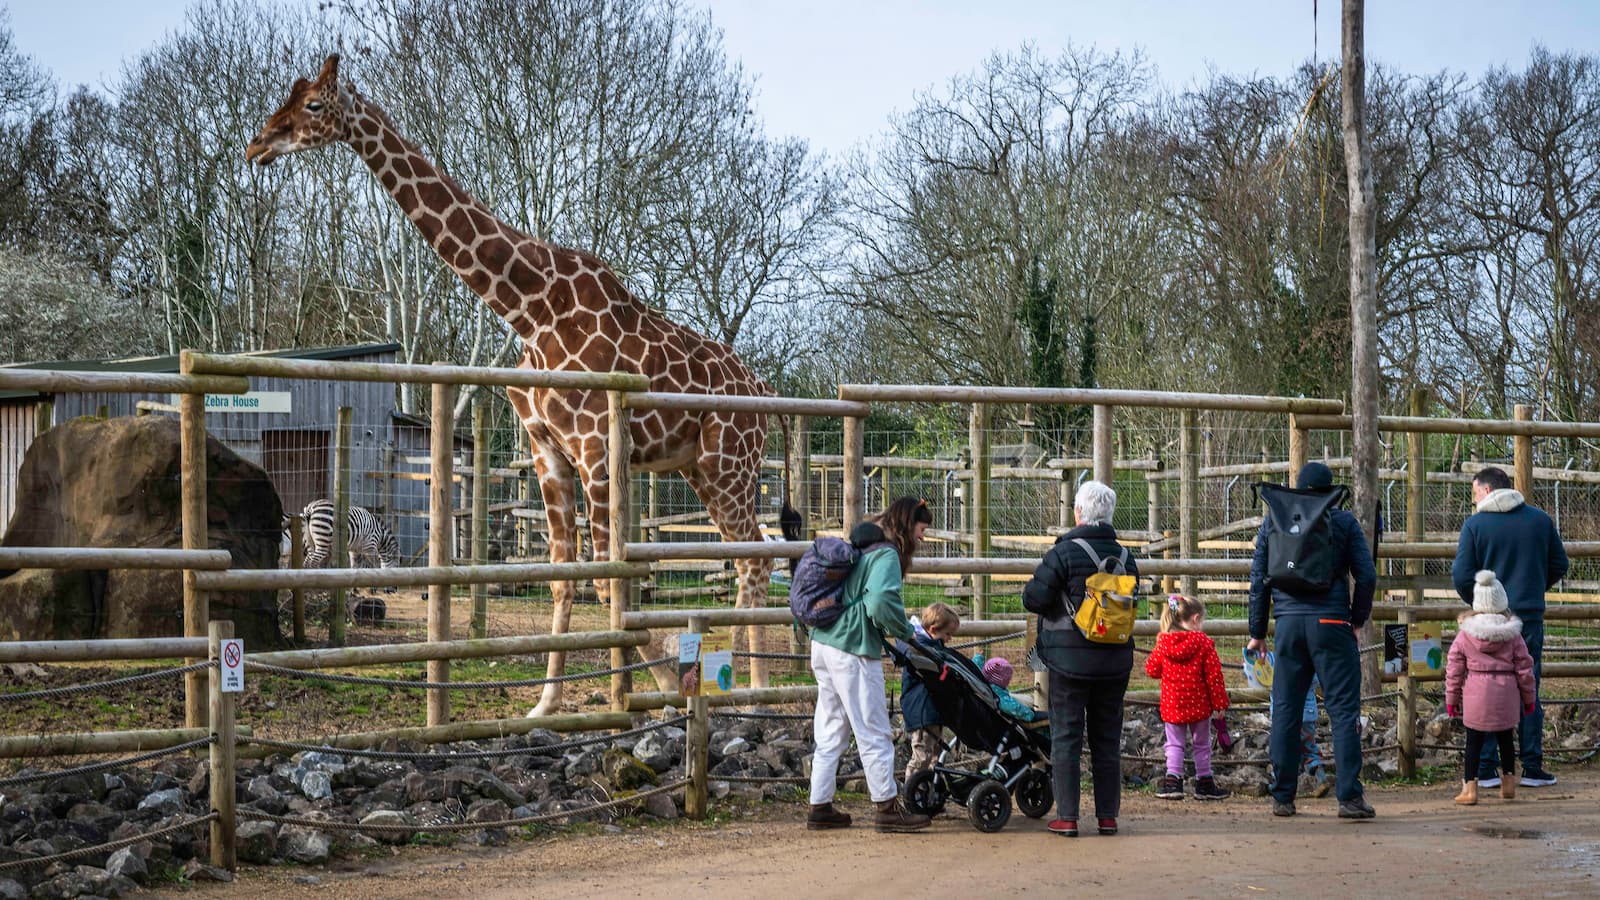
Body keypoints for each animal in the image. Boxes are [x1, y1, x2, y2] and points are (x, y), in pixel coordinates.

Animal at [246, 55, 791, 716]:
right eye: (288, 96)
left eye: (315, 106)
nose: (258, 143)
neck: (530, 308)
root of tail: (765, 394)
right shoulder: (547, 448)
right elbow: (566, 576)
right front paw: (548, 705)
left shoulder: (595, 448)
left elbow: (611, 577)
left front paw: (652, 686)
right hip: (699, 468)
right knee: (748, 557)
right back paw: (740, 685)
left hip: (728, 464)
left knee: (758, 557)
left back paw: (754, 694)